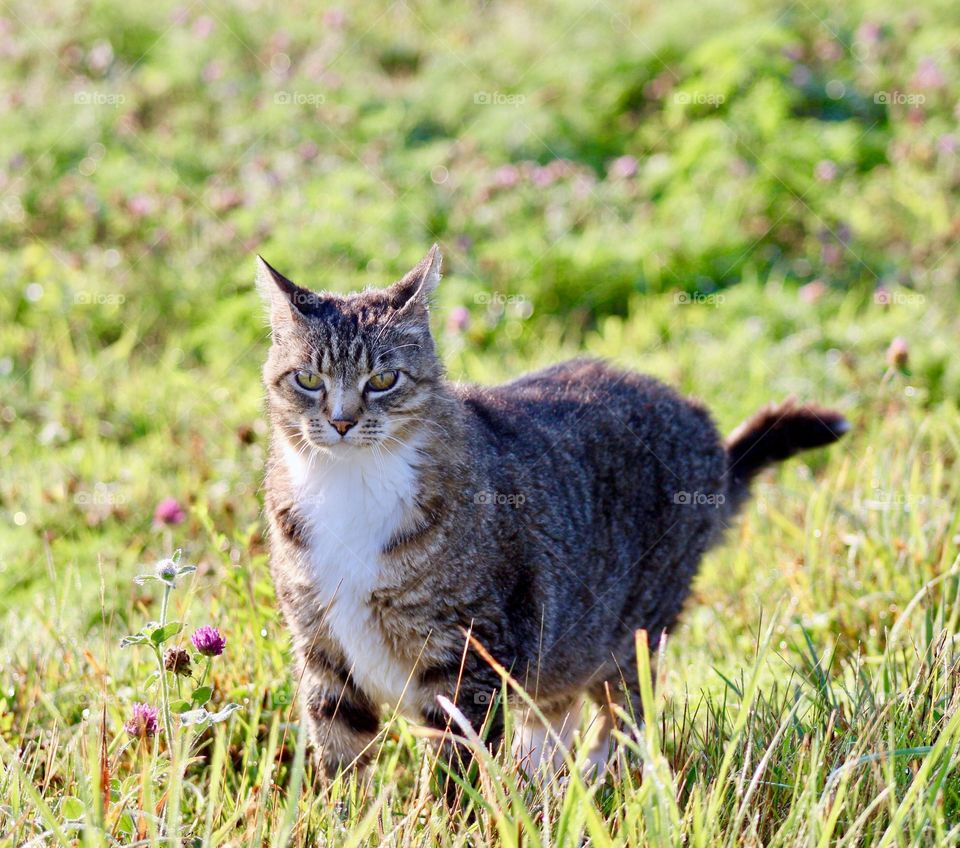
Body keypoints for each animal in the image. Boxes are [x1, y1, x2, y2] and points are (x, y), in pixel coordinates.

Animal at [256, 242, 848, 780]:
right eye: (308, 379)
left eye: (383, 380)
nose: (341, 422)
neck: (350, 486)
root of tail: (700, 421)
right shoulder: (323, 649)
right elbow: (340, 753)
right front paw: (339, 814)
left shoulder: (468, 653)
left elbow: (458, 765)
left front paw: (445, 816)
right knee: (555, 710)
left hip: (629, 628)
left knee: (626, 714)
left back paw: (605, 779)